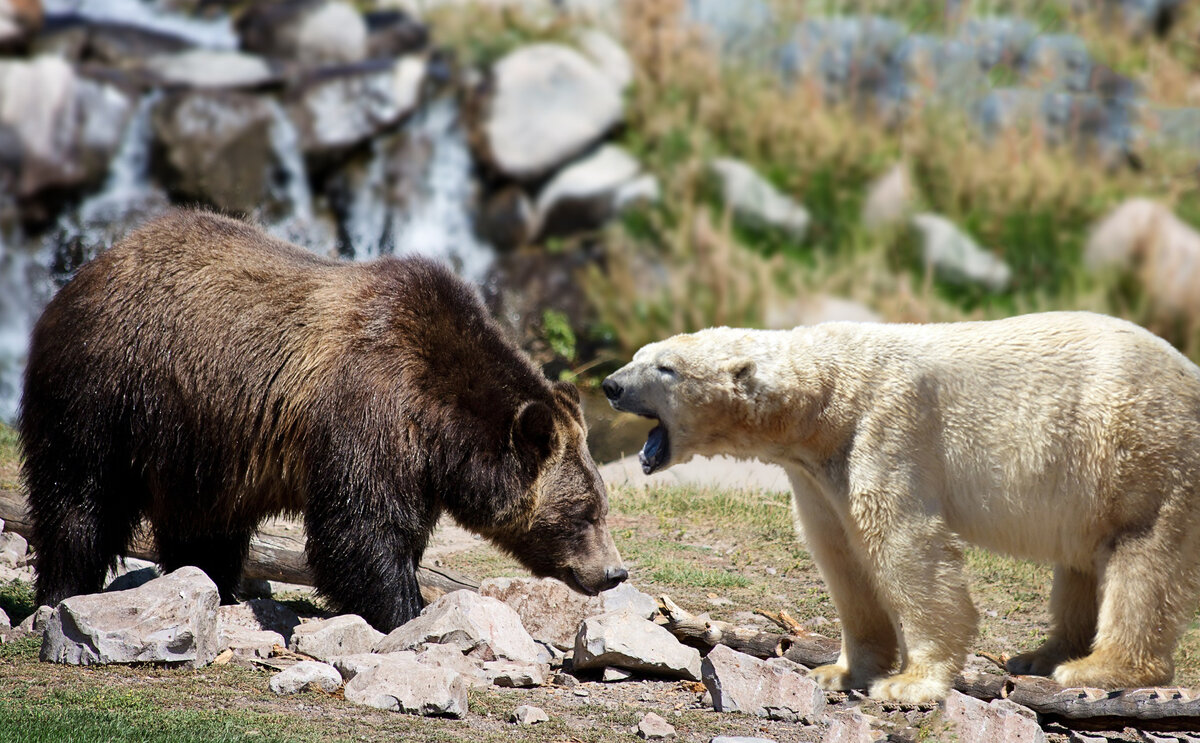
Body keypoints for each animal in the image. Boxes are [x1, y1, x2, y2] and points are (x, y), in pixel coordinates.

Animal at [21, 208, 628, 633]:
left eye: (601, 505)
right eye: (584, 512)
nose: (614, 572)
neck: (440, 424)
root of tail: (89, 268)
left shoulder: (416, 463)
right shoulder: (370, 411)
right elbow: (360, 531)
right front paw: (406, 611)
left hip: (197, 440)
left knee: (203, 524)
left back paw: (214, 586)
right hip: (108, 388)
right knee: (80, 496)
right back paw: (62, 591)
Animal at [604, 312, 1200, 705]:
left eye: (666, 368)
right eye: (640, 355)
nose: (610, 384)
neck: (826, 398)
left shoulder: (889, 429)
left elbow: (904, 548)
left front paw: (909, 683)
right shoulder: (817, 473)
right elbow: (841, 554)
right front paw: (837, 672)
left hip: (1135, 450)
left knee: (1139, 556)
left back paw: (1096, 669)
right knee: (1078, 560)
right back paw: (1041, 656)